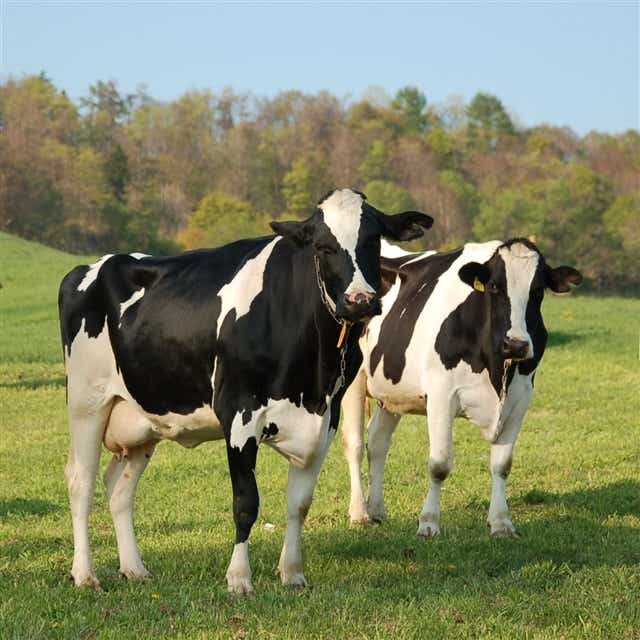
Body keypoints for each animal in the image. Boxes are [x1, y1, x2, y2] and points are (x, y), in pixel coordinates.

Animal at [58, 188, 433, 594]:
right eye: (323, 246)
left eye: (373, 240)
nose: (360, 300)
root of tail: (92, 266)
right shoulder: (239, 414)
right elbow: (245, 503)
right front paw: (239, 578)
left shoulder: (324, 420)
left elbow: (299, 504)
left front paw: (292, 573)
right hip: (87, 402)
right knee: (81, 482)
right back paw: (85, 574)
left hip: (141, 418)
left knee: (119, 488)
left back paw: (134, 568)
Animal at [341, 238, 582, 537]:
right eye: (494, 286)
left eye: (537, 290)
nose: (515, 344)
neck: (496, 367)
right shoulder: (441, 395)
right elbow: (439, 464)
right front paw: (428, 522)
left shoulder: (521, 397)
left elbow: (502, 464)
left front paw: (501, 522)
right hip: (352, 380)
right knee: (354, 443)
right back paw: (359, 512)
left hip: (392, 390)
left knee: (377, 442)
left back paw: (376, 510)